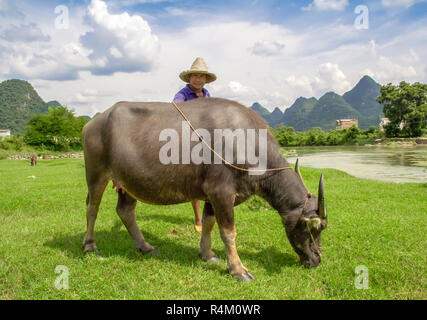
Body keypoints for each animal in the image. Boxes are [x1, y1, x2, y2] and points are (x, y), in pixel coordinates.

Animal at [83, 97, 328, 280]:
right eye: (315, 228)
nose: (316, 260)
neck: (247, 143)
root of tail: (93, 122)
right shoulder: (221, 192)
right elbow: (229, 232)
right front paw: (238, 269)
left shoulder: (213, 196)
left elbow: (209, 223)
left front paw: (207, 254)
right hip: (96, 175)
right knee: (92, 208)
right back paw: (90, 246)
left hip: (128, 184)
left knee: (125, 211)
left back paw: (145, 247)